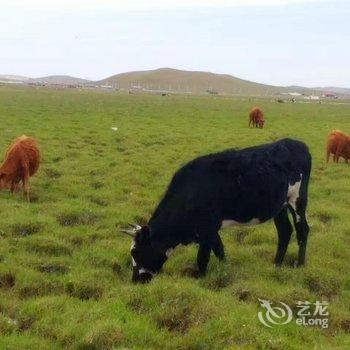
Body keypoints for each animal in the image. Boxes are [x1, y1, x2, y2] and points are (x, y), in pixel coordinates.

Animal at [123, 138, 312, 284]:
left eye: (136, 252)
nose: (136, 281)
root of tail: (297, 143)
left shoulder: (207, 228)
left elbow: (203, 258)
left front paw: (201, 279)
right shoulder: (210, 231)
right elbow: (219, 250)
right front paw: (225, 271)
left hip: (297, 199)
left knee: (302, 230)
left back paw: (300, 264)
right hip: (280, 206)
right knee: (285, 231)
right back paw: (277, 264)